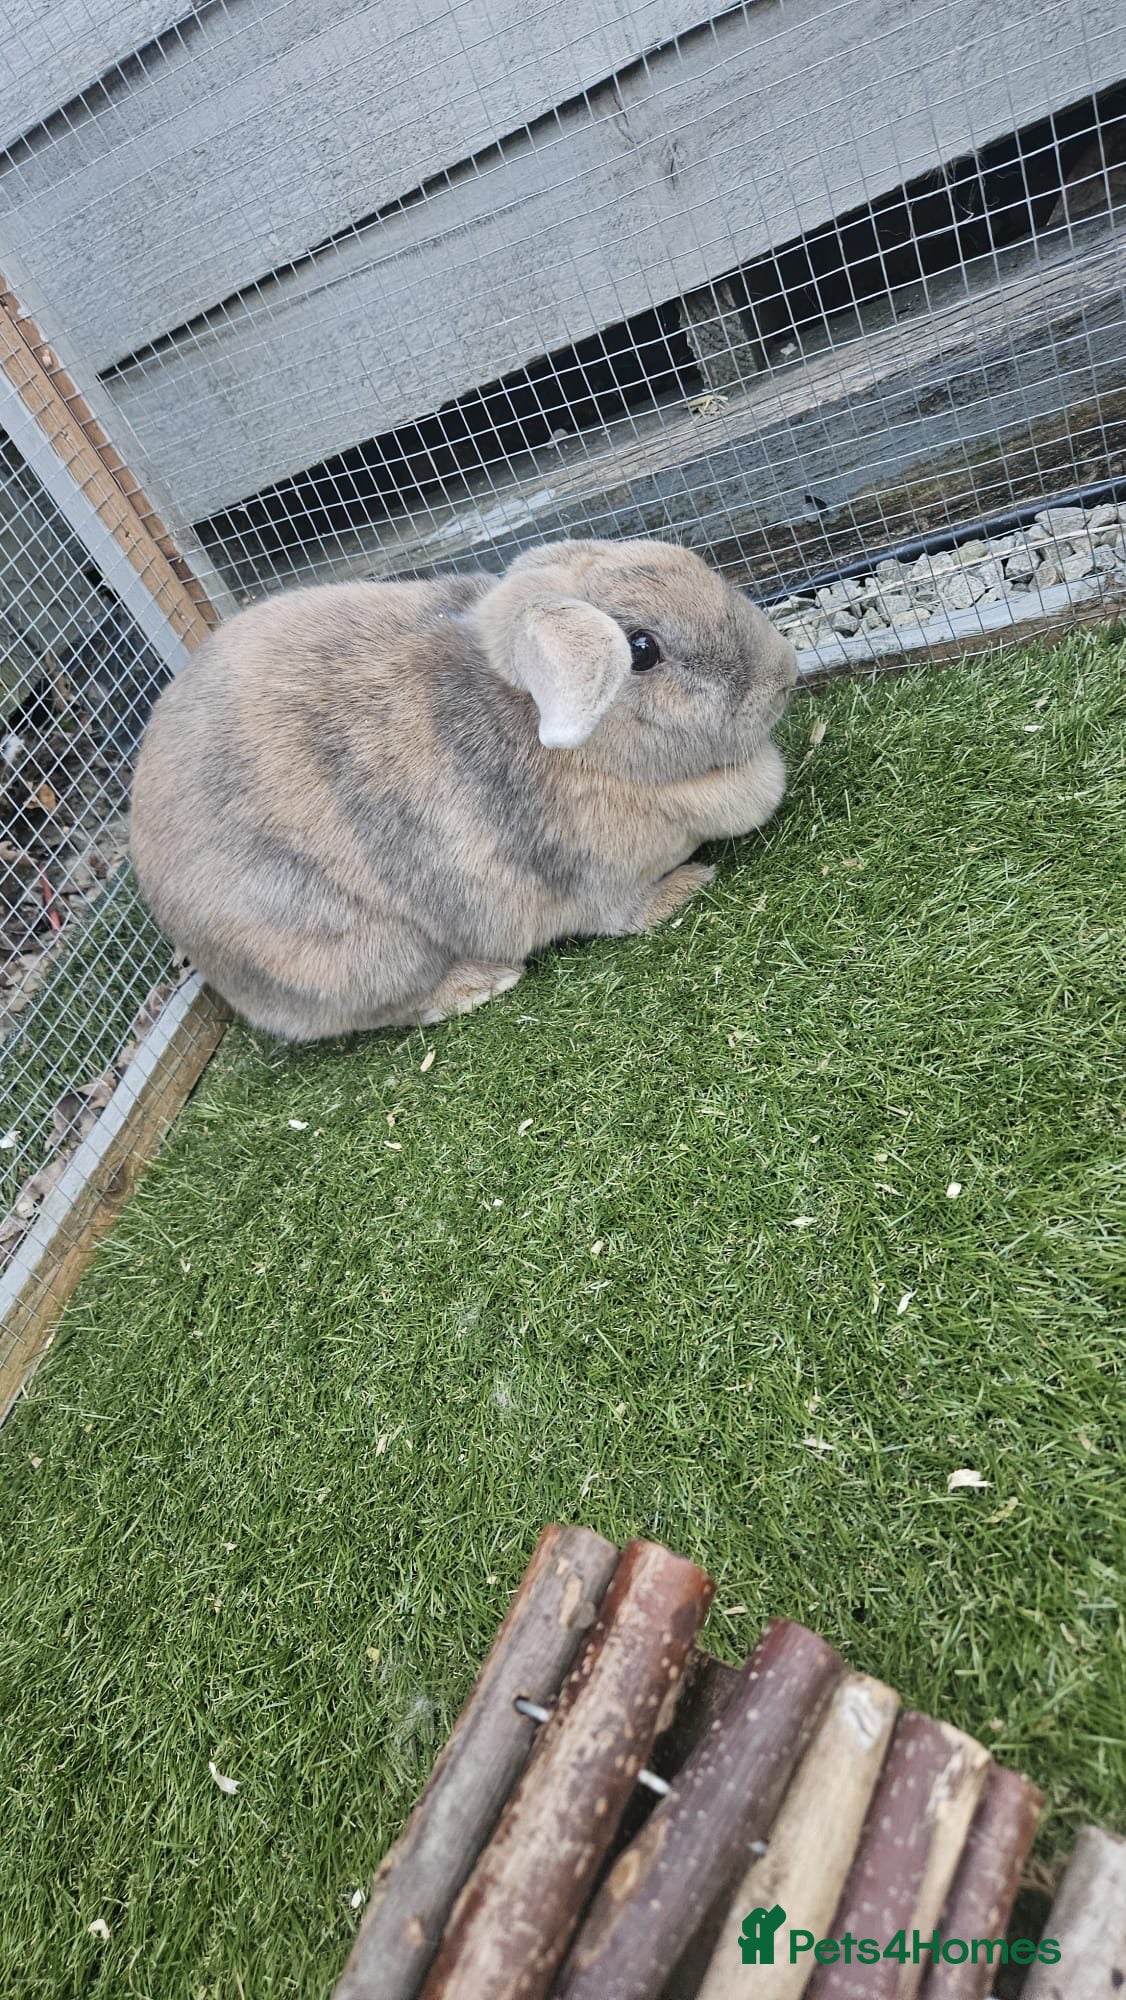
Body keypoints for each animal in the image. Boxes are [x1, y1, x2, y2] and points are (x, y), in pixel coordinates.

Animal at [129, 537, 798, 1040]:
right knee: (392, 1007)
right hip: (365, 953)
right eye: (642, 650)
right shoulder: (600, 880)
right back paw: (481, 983)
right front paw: (689, 885)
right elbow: (626, 914)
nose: (785, 674)